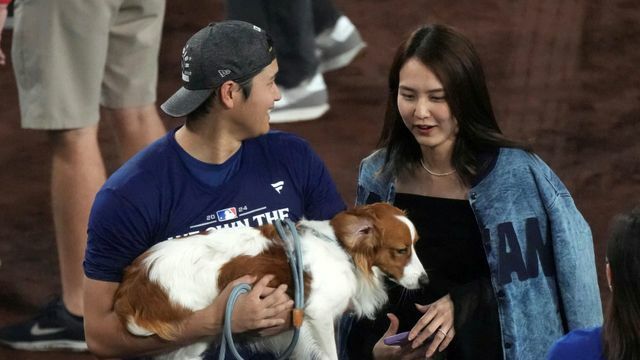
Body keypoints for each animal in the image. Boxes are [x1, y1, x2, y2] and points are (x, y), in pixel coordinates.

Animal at [114, 204, 428, 358]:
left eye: (415, 245)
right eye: (401, 250)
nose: (425, 281)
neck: (342, 250)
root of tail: (137, 278)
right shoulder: (319, 316)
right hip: (189, 343)